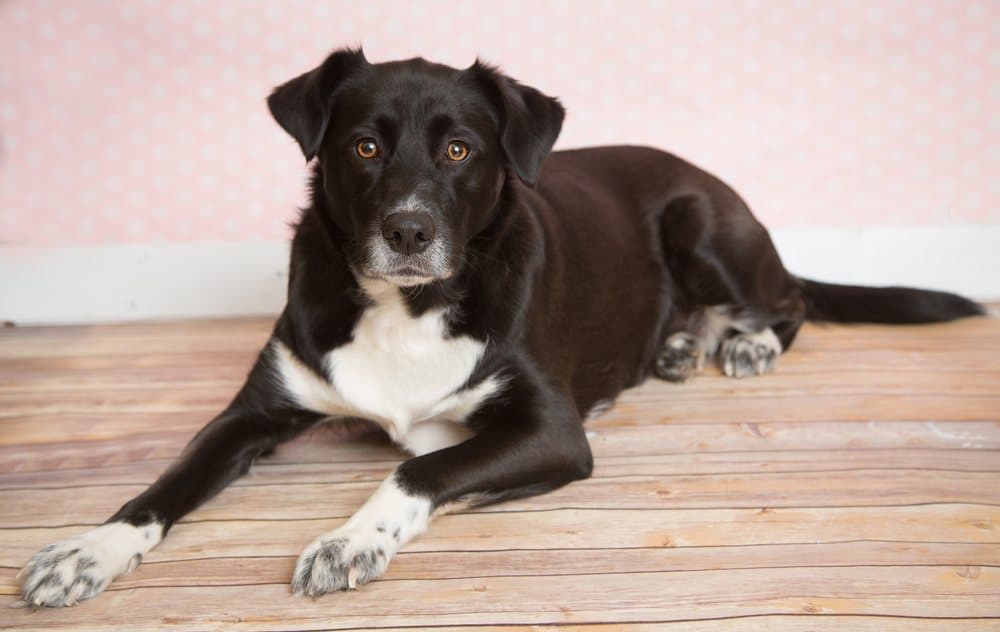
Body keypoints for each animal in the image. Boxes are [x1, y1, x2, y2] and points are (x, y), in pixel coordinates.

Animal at [17, 47, 984, 604]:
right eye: (364, 146)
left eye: (458, 150)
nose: (409, 232)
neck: (405, 306)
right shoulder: (255, 410)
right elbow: (165, 482)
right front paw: (88, 551)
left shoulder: (552, 430)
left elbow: (419, 468)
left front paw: (347, 540)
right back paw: (679, 343)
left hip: (703, 226)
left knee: (791, 304)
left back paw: (741, 341)